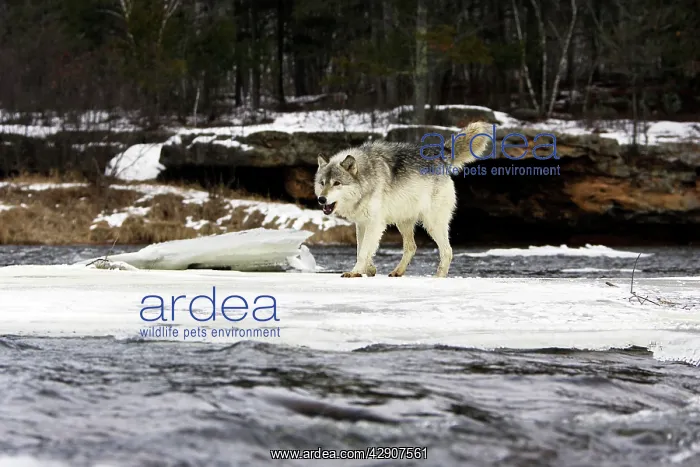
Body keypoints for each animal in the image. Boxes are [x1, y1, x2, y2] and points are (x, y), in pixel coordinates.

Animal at [315, 121, 491, 278]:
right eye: (322, 183)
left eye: (337, 183)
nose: (321, 199)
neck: (366, 178)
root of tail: (440, 157)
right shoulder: (361, 223)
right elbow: (361, 249)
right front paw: (369, 269)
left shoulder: (374, 223)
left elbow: (363, 251)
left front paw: (355, 272)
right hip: (403, 222)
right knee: (412, 247)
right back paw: (397, 272)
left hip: (431, 223)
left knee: (447, 251)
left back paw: (437, 278)